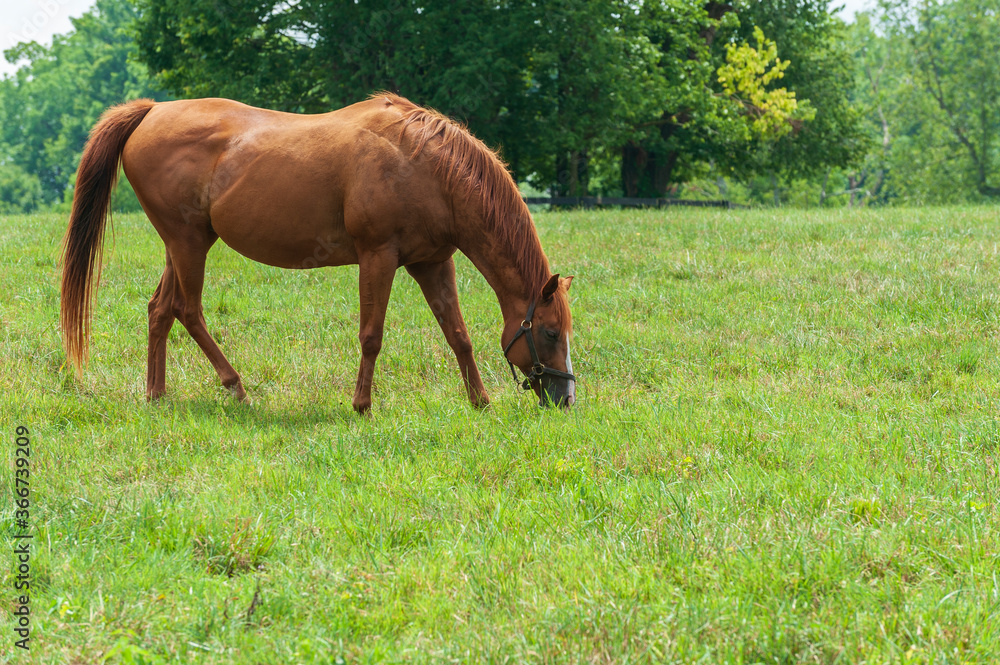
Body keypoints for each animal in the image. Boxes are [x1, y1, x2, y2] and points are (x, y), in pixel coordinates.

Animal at [60, 94, 576, 412]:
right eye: (550, 332)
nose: (566, 398)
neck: (423, 164)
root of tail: (152, 111)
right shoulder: (378, 258)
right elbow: (372, 336)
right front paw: (362, 405)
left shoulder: (432, 262)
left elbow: (458, 335)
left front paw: (480, 401)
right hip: (188, 244)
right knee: (188, 310)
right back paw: (235, 386)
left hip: (184, 244)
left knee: (160, 309)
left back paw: (157, 393)